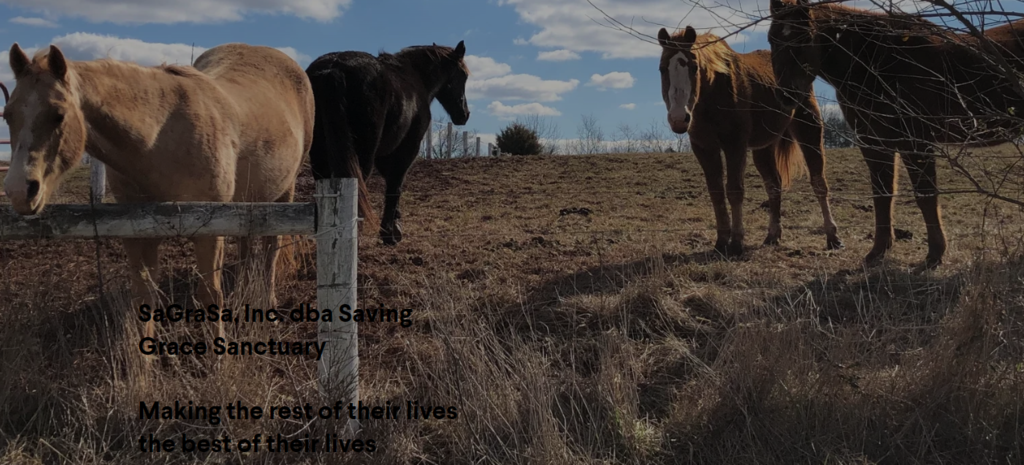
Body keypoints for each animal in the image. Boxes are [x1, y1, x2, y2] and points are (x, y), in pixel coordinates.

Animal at [3, 43, 314, 342]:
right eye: (7, 115)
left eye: (58, 114)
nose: (19, 190)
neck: (158, 141)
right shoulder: (137, 233)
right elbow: (144, 296)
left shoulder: (210, 232)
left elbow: (210, 295)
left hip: (284, 193)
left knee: (271, 250)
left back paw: (268, 303)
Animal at [305, 41, 471, 245]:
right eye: (463, 75)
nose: (464, 114)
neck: (415, 77)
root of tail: (332, 69)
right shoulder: (407, 149)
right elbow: (395, 186)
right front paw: (389, 234)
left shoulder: (383, 155)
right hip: (361, 157)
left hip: (320, 155)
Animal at [658, 26, 842, 257]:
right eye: (662, 69)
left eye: (694, 67)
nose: (678, 118)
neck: (714, 94)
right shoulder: (705, 148)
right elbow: (716, 193)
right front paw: (721, 242)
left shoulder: (735, 145)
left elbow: (735, 191)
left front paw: (736, 243)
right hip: (764, 148)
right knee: (774, 185)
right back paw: (773, 236)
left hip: (809, 130)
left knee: (819, 182)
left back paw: (833, 237)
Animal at [768, 0, 1024, 269]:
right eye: (771, 39)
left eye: (805, 37)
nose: (786, 95)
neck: (875, 62)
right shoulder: (873, 141)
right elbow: (882, 193)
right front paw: (878, 251)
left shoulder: (915, 141)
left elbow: (925, 195)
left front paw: (934, 254)